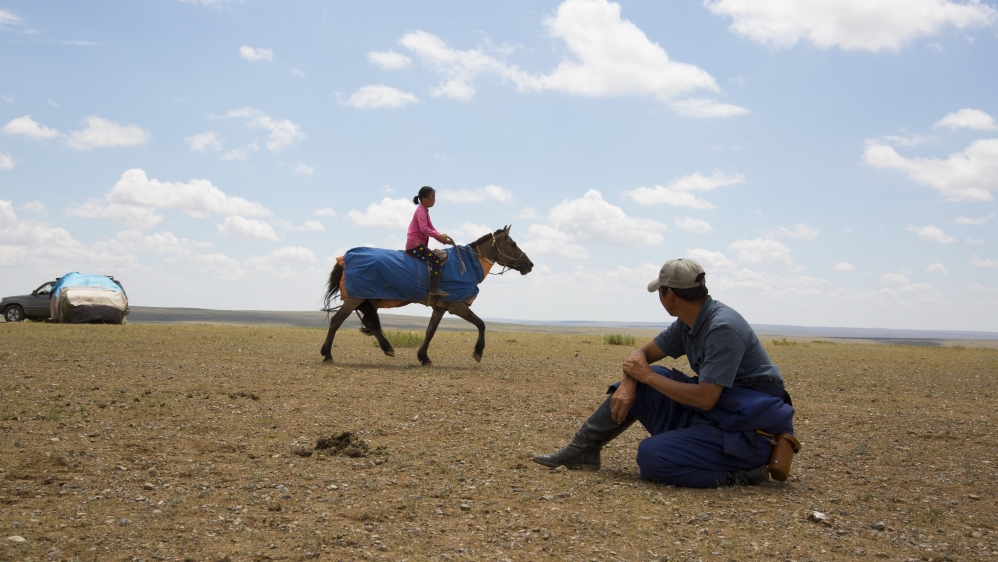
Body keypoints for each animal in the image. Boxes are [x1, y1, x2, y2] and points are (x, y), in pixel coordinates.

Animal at [320, 226, 533, 366]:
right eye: (513, 243)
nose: (529, 264)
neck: (467, 264)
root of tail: (346, 257)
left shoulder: (440, 307)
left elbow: (430, 331)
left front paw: (424, 357)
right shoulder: (457, 305)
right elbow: (481, 324)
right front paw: (478, 352)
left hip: (368, 299)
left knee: (369, 323)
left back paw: (388, 348)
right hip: (354, 299)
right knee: (337, 321)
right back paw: (327, 354)